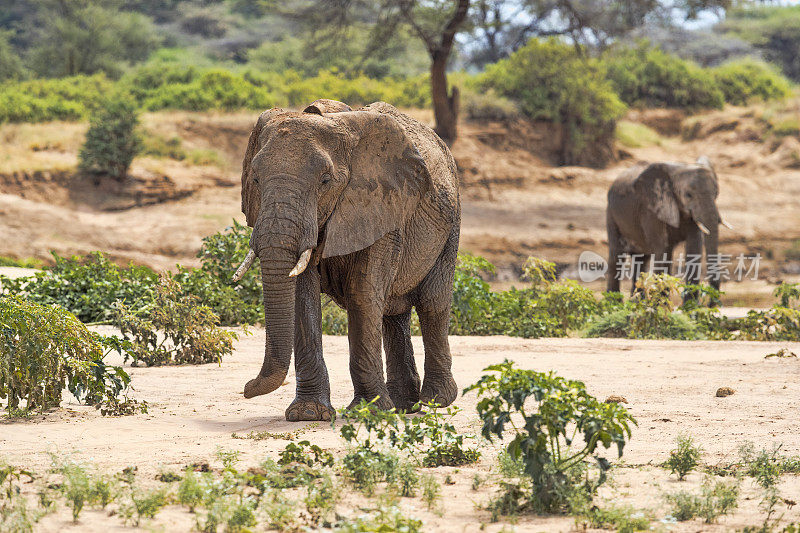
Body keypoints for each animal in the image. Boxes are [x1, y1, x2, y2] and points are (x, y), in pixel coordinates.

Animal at [230, 98, 462, 420]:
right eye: (255, 179)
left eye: (325, 181)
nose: (247, 388)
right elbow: (302, 295)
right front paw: (309, 414)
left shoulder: (382, 206)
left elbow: (362, 293)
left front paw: (369, 411)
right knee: (394, 311)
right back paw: (403, 404)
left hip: (451, 224)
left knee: (432, 302)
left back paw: (436, 400)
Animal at [608, 156, 732, 298]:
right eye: (688, 195)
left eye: (716, 192)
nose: (710, 299)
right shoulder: (651, 208)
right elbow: (660, 246)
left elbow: (694, 247)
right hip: (611, 215)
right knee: (616, 256)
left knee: (643, 259)